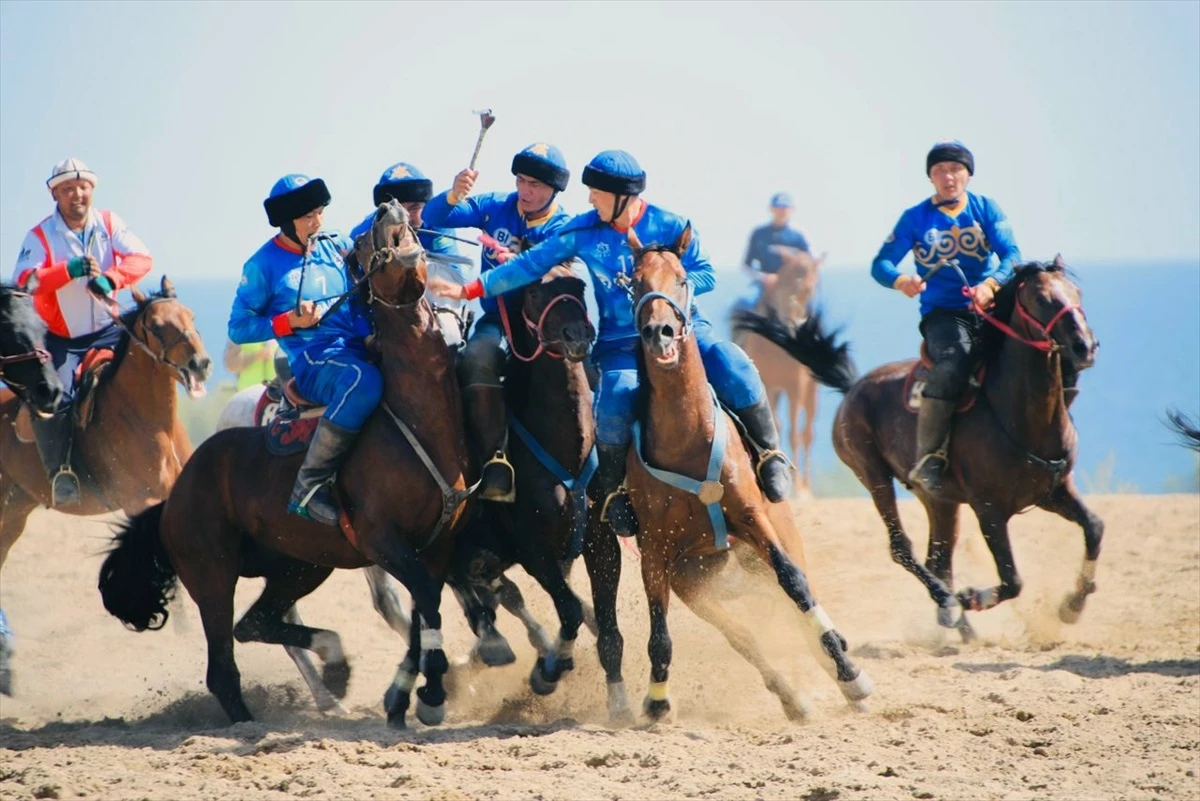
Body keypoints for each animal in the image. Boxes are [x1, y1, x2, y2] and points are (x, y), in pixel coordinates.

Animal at [0, 275, 210, 695]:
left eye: (191, 316)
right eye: (157, 326)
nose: (200, 363)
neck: (146, 419)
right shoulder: (141, 504)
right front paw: (181, 635)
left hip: (14, 510)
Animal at [99, 203, 472, 729]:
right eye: (362, 247)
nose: (387, 208)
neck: (414, 419)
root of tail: (174, 497)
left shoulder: (435, 546)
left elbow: (425, 610)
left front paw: (411, 696)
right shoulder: (383, 541)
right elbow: (425, 605)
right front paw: (432, 692)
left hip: (299, 566)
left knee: (257, 622)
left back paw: (335, 666)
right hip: (213, 576)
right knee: (223, 664)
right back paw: (255, 718)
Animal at [729, 247, 825, 494]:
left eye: (810, 291)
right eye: (786, 282)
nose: (795, 320)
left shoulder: (796, 387)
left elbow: (794, 434)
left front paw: (799, 489)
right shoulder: (770, 385)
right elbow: (778, 427)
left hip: (811, 393)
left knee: (807, 433)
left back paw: (806, 486)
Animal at [739, 260, 1104, 642]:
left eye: (1077, 293)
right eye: (1041, 298)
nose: (1085, 346)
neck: (1020, 417)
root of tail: (853, 388)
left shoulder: (1054, 491)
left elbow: (1094, 527)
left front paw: (1072, 605)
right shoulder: (989, 510)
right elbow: (1012, 580)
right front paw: (970, 597)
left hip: (939, 501)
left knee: (937, 561)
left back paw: (961, 626)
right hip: (874, 476)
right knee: (903, 549)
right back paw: (949, 603)